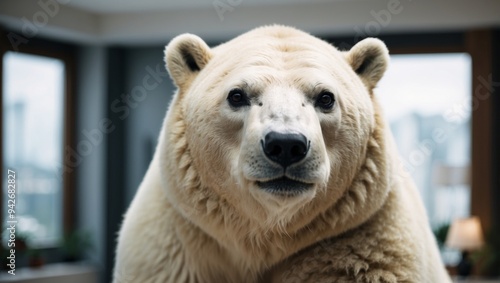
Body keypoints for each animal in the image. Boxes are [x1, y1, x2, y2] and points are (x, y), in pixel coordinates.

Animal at [114, 25, 454, 282]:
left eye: (326, 97)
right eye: (236, 95)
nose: (286, 144)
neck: (267, 237)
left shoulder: (359, 237)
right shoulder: (178, 244)